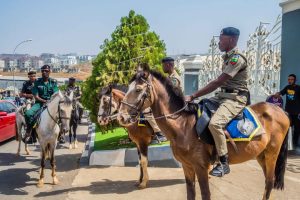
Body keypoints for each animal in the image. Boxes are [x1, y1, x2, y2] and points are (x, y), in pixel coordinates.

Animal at [118, 69, 290, 200]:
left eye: (138, 90)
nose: (121, 117)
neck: (183, 125)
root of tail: (280, 110)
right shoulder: (187, 166)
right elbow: (191, 193)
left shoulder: (201, 167)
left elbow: (205, 194)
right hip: (261, 154)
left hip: (272, 153)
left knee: (269, 182)